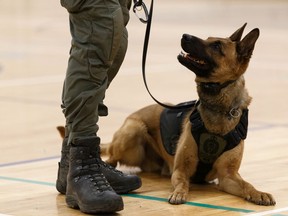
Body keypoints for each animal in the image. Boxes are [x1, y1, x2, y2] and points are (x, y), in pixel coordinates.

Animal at [57, 23, 276, 206]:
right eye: (208, 39)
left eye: (216, 46)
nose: (185, 35)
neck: (218, 107)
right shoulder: (181, 170)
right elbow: (182, 183)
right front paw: (179, 193)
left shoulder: (228, 176)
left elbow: (246, 184)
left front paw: (258, 193)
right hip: (134, 132)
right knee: (111, 156)